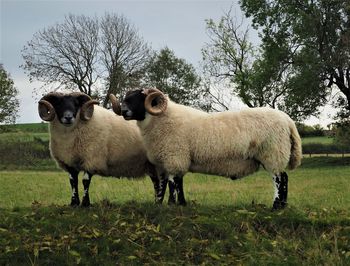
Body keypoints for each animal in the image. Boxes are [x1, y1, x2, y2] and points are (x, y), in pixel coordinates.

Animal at [38, 92, 172, 207]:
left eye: (76, 104)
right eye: (58, 104)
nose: (68, 117)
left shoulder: (92, 158)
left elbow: (85, 181)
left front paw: (85, 203)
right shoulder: (69, 162)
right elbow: (73, 182)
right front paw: (74, 203)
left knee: (163, 181)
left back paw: (161, 202)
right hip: (150, 165)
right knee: (156, 182)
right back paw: (156, 201)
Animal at [115, 88, 304, 209]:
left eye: (139, 98)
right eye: (127, 97)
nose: (123, 111)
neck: (161, 120)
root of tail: (288, 121)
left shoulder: (175, 156)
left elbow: (174, 182)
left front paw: (175, 204)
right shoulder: (173, 160)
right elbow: (175, 182)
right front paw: (178, 204)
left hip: (272, 153)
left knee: (280, 179)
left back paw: (276, 206)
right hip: (274, 154)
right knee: (284, 178)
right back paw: (282, 206)